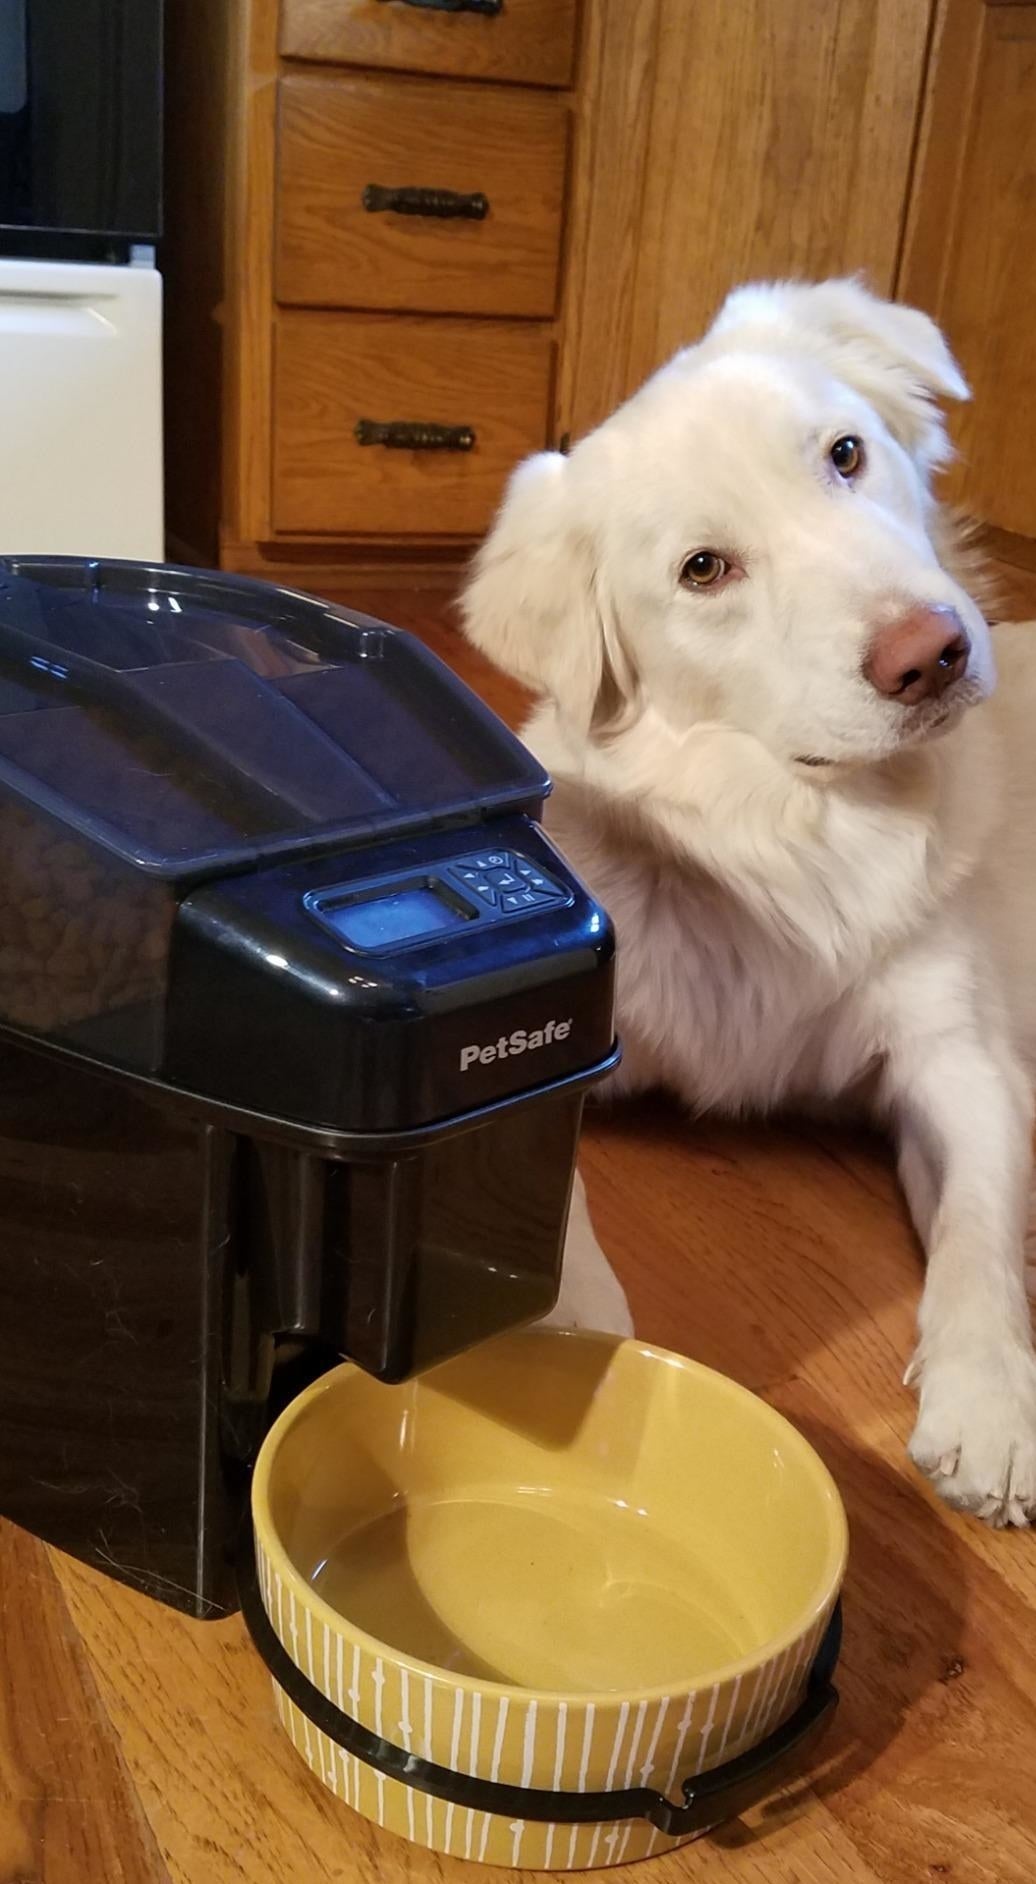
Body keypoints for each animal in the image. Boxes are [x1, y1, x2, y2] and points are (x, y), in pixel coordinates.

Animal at [467, 278, 1036, 1529]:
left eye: (845, 455)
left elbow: (979, 1227)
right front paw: (566, 1320)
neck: (789, 829)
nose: (931, 652)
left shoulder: (957, 1057)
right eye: (703, 570)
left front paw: (990, 1402)